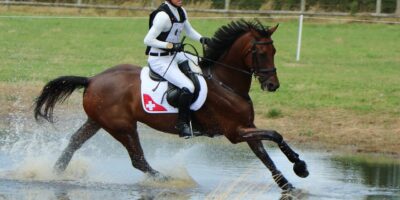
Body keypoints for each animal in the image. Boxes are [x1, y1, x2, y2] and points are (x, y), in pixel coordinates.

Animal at [35, 19, 310, 191]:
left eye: (274, 51)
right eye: (260, 53)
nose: (272, 85)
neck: (226, 83)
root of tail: (92, 79)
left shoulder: (247, 127)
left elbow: (265, 154)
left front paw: (288, 182)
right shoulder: (235, 132)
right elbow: (275, 134)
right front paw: (301, 167)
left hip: (97, 121)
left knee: (73, 143)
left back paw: (54, 173)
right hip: (123, 127)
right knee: (138, 160)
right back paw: (171, 180)